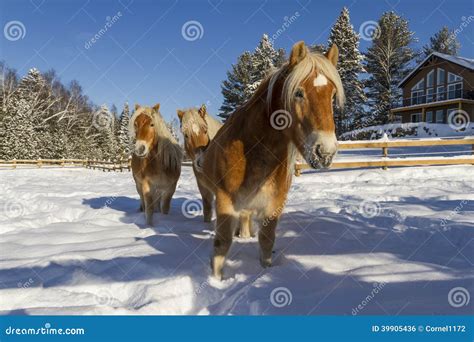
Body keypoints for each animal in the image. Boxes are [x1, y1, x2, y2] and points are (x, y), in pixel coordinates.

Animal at [198, 42, 346, 278]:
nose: (325, 152)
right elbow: (222, 244)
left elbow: (267, 242)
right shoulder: (225, 202)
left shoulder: (273, 206)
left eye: (332, 94)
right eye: (298, 93)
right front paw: (216, 280)